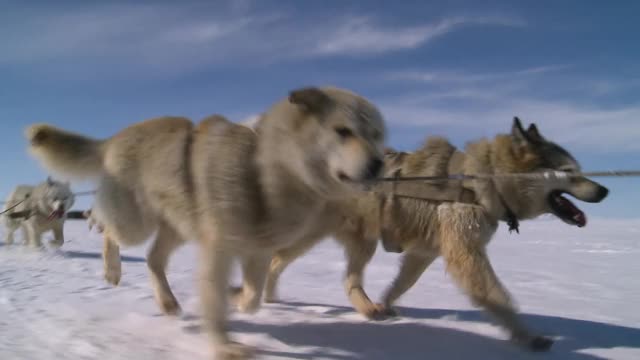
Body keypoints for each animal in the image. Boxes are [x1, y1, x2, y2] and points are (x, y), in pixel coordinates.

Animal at [25, 86, 388, 358]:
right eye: (343, 131)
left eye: (376, 135)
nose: (378, 165)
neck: (262, 170)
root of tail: (114, 137)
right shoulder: (219, 251)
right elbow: (217, 303)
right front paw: (224, 347)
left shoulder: (257, 252)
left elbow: (253, 297)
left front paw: (236, 295)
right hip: (135, 224)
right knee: (108, 229)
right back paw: (112, 270)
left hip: (179, 229)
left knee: (153, 258)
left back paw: (168, 301)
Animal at [264, 117, 608, 352]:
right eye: (569, 172)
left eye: (579, 169)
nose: (604, 190)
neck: (482, 180)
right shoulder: (466, 254)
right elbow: (500, 298)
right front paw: (528, 337)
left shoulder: (425, 253)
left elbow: (401, 285)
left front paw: (387, 304)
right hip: (319, 238)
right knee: (278, 261)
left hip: (361, 241)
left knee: (339, 277)